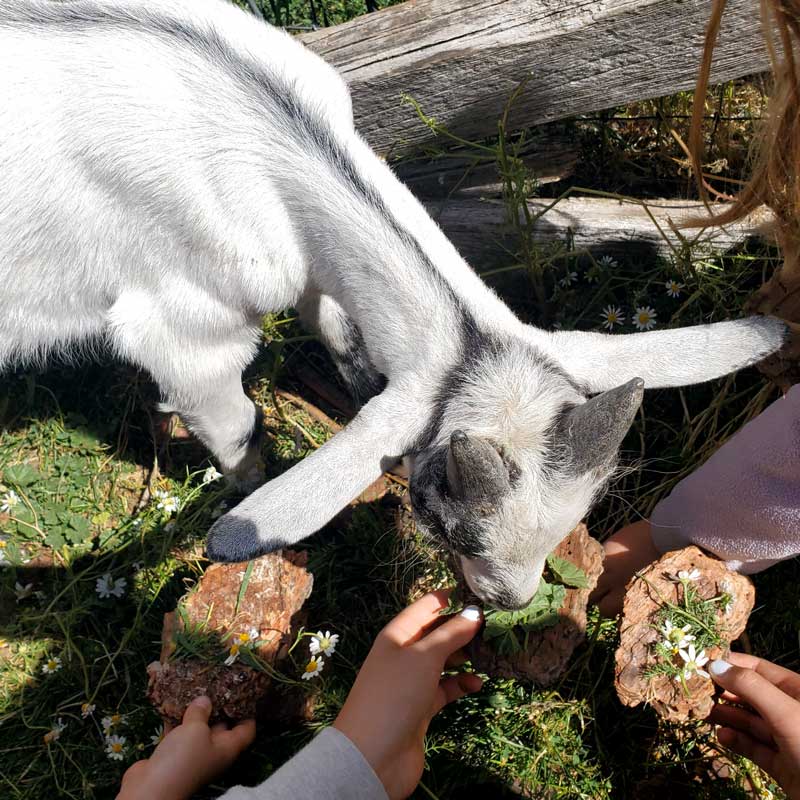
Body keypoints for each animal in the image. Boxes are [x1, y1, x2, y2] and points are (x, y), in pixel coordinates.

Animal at [0, 0, 786, 609]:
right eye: (443, 520)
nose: (511, 601)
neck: (267, 140)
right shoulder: (191, 330)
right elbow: (236, 430)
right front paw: (240, 481)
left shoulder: (310, 268)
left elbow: (333, 321)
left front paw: (349, 380)